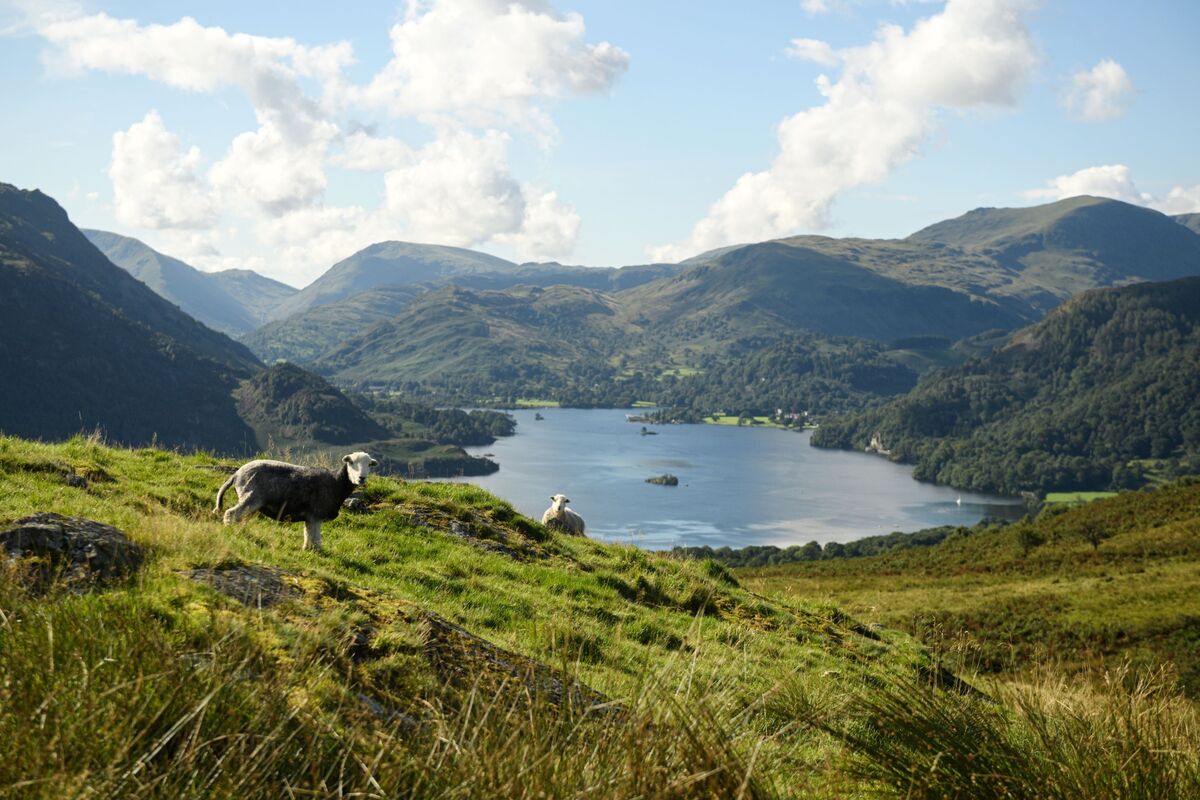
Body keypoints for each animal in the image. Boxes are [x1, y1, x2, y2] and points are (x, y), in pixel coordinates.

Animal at [214, 453, 374, 554]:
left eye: (369, 465)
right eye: (351, 462)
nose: (362, 478)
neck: (337, 482)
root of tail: (237, 474)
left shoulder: (310, 517)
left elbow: (308, 534)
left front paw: (307, 550)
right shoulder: (316, 515)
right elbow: (315, 538)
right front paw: (317, 553)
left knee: (240, 517)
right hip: (251, 497)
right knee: (231, 514)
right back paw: (230, 531)